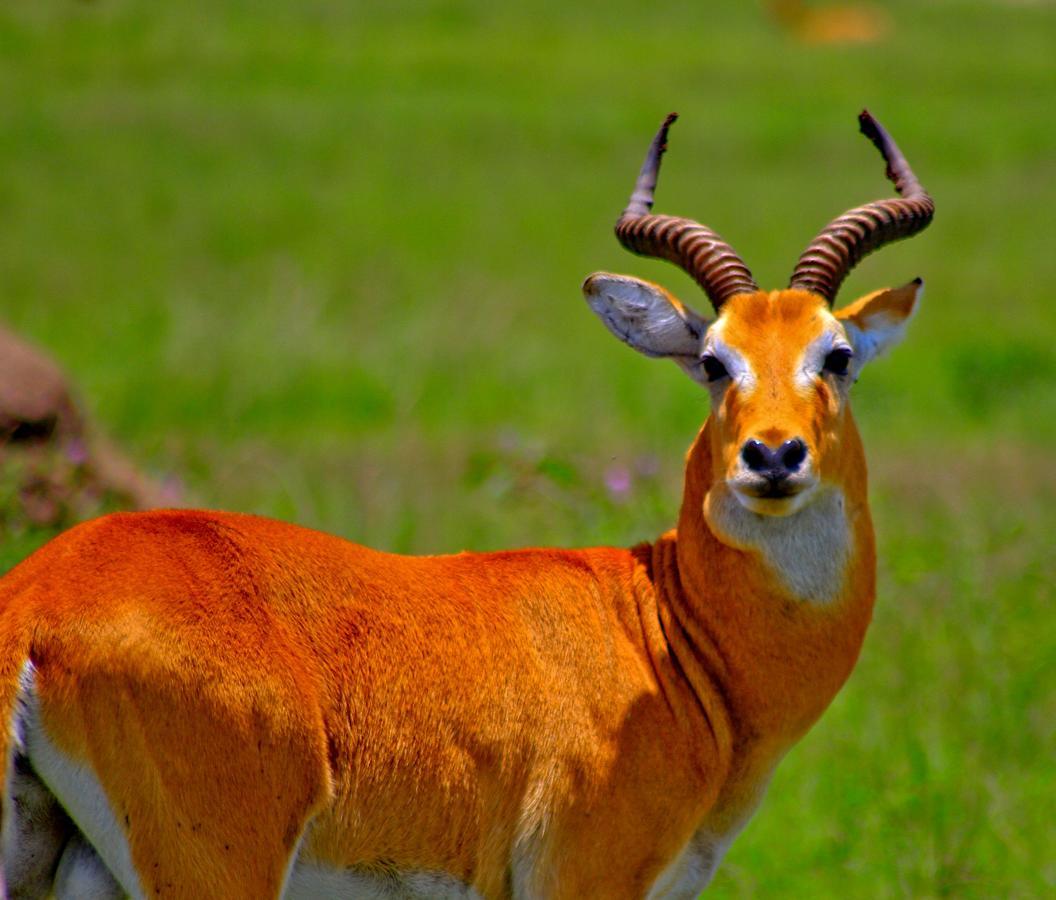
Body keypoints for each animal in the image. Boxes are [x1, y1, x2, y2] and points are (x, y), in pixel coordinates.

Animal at [4, 114, 933, 900]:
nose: (773, 456)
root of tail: (39, 600)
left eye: (837, 355)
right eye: (713, 360)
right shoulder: (579, 881)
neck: (666, 633)